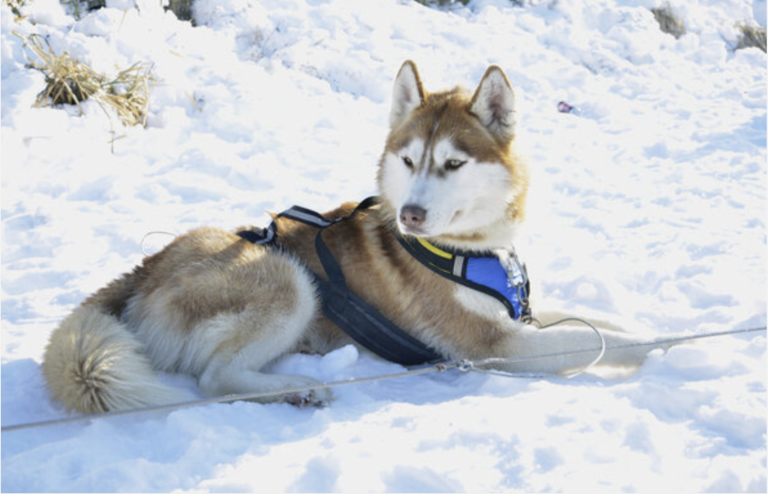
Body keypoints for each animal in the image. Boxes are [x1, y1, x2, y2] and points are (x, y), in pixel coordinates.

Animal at [42, 61, 656, 412]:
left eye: (453, 163)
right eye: (409, 161)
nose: (410, 214)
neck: (472, 248)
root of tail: (146, 267)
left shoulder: (517, 316)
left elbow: (607, 325)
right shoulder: (493, 346)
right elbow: (603, 342)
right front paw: (666, 354)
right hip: (287, 281)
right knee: (216, 378)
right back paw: (296, 388)